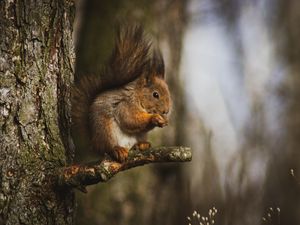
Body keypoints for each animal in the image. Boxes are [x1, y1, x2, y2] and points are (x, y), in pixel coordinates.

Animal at [71, 26, 172, 163]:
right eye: (155, 95)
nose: (166, 111)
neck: (138, 96)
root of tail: (94, 142)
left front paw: (164, 120)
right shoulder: (124, 105)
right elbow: (130, 119)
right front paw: (154, 118)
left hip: (139, 135)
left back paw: (142, 144)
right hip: (106, 131)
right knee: (108, 148)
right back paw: (117, 149)